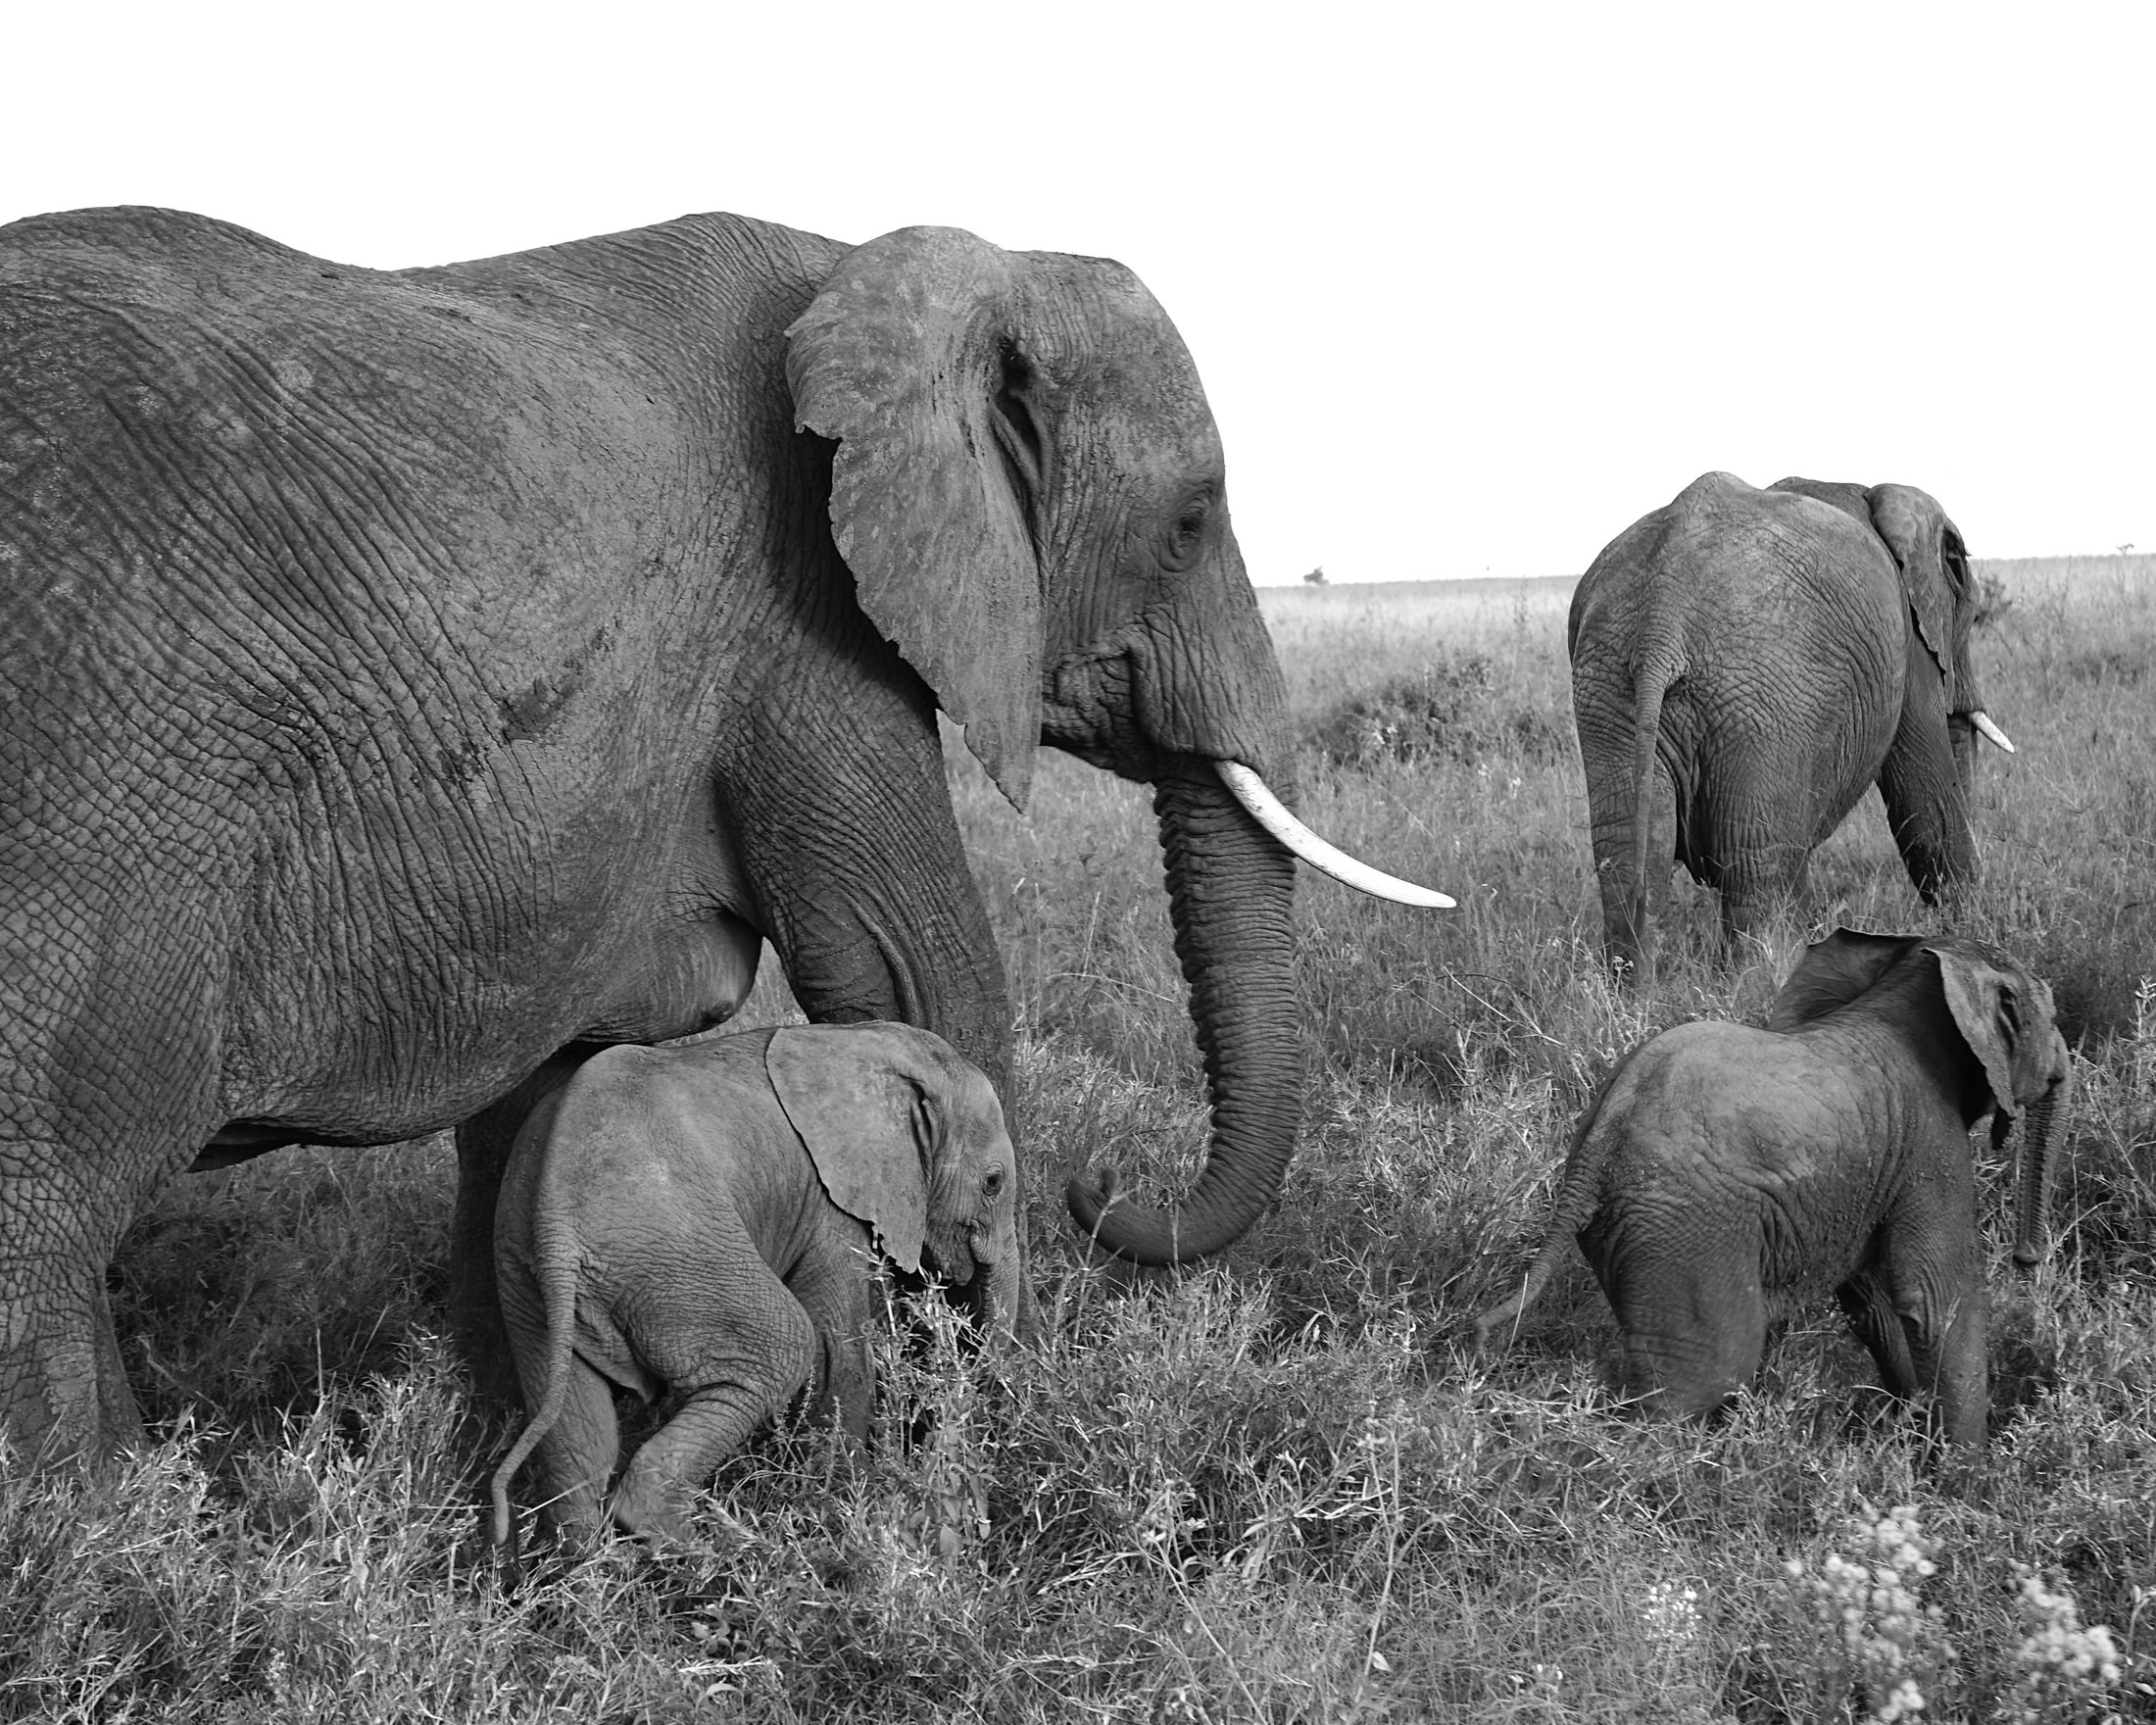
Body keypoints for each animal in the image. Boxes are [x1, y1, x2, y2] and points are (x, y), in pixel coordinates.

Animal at [0, 203, 1443, 1459]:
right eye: (1190, 522)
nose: (1105, 1189)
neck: (905, 270)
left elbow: (553, 1094)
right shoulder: (803, 624)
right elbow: (918, 979)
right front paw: (979, 1433)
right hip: (93, 789)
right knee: (43, 1217)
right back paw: (107, 1528)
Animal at [486, 1022, 1016, 1554]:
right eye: (993, 1183)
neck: (862, 1042)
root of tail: (556, 1222)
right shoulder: (831, 1205)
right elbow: (838, 1344)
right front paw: (850, 1503)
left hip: (523, 1276)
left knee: (575, 1430)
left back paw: (588, 1565)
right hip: (680, 1254)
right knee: (783, 1349)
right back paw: (706, 1552)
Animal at [1474, 929, 2071, 1448]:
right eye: (2052, 1014)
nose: (2028, 1259)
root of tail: (1599, 1139)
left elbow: (1874, 1301)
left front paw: (1913, 1432)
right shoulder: (1929, 1145)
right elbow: (1934, 1298)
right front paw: (1966, 1477)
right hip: (1685, 1231)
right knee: (1708, 1373)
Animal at [1568, 471, 2016, 970]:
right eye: (1970, 612)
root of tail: (1663, 614)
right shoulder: (1909, 644)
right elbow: (1927, 805)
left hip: (1613, 692)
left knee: (1630, 855)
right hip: (1763, 695)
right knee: (1754, 864)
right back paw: (1762, 981)